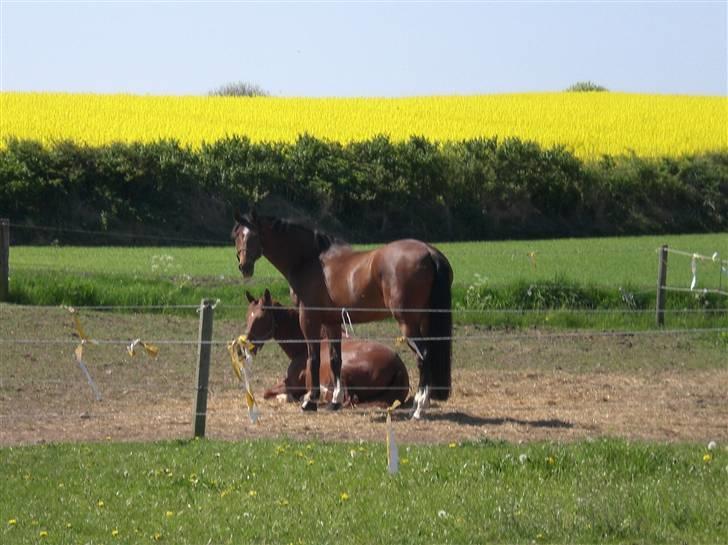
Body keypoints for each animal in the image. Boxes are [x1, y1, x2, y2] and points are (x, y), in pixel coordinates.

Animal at [243, 288, 410, 404]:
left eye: (260, 318)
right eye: (247, 316)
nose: (246, 345)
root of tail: (398, 367)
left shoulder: (290, 384)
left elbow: (268, 392)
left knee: (345, 398)